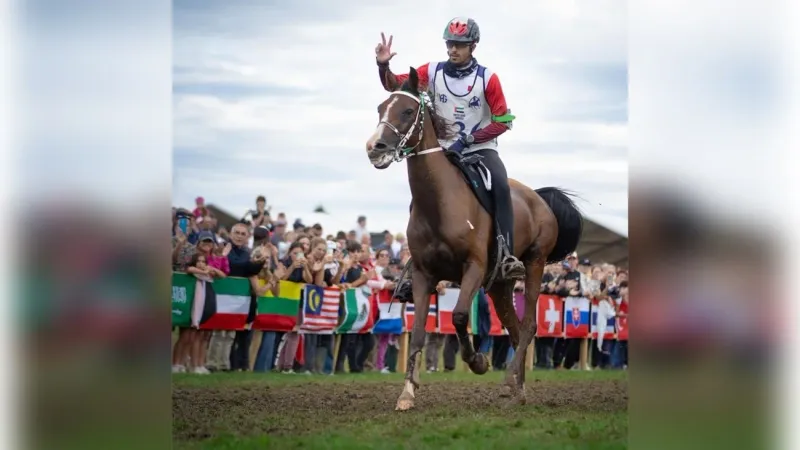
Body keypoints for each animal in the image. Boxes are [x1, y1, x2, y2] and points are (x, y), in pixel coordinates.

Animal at [364, 67, 580, 412]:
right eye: (381, 108)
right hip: (499, 286)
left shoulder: (473, 268)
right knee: (514, 328)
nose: (376, 147)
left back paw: (509, 381)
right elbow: (420, 331)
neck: (440, 204)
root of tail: (540, 199)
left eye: (408, 111)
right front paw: (407, 393)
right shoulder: (424, 275)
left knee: (529, 325)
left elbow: (459, 316)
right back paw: (518, 390)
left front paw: (478, 361)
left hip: (534, 264)